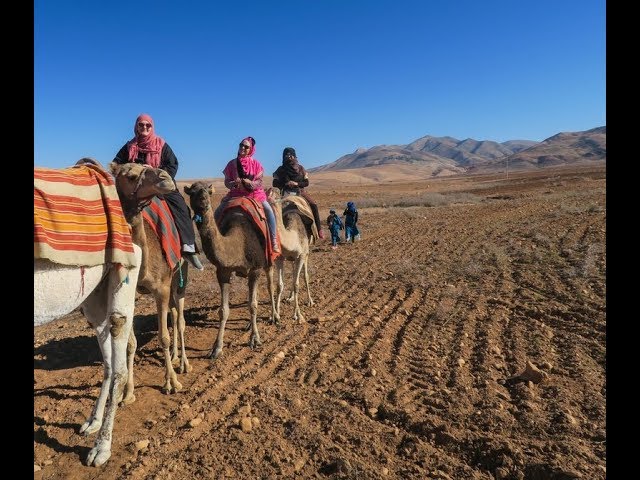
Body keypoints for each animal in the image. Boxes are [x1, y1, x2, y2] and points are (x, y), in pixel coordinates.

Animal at [111, 161, 191, 394]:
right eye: (130, 176)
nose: (165, 178)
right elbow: (130, 344)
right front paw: (127, 392)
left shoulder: (161, 288)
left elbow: (163, 337)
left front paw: (171, 383)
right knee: (174, 313)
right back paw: (174, 356)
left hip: (181, 274)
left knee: (180, 319)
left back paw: (184, 363)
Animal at [182, 181, 278, 360]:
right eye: (192, 192)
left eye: (208, 192)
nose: (203, 201)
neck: (238, 243)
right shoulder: (223, 271)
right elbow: (223, 311)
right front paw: (217, 348)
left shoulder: (255, 268)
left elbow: (253, 305)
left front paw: (255, 339)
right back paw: (249, 325)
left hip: (268, 259)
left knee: (270, 286)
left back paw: (275, 316)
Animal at [266, 189, 314, 320]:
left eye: (275, 197)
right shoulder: (280, 258)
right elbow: (279, 285)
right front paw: (276, 315)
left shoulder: (301, 256)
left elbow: (296, 284)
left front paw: (298, 315)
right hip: (292, 259)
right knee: (293, 273)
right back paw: (290, 297)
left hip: (306, 252)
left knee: (305, 276)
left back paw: (310, 301)